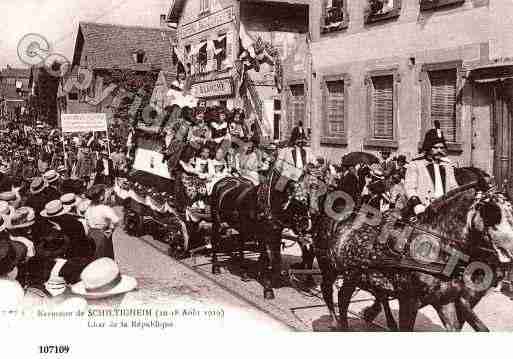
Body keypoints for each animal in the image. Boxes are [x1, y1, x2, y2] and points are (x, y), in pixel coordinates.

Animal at [209, 164, 312, 300]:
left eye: (308, 201)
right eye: (296, 201)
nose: (306, 225)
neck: (271, 203)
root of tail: (222, 181)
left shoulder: (274, 234)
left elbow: (271, 257)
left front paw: (264, 275)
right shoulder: (266, 235)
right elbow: (269, 258)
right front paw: (268, 289)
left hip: (243, 227)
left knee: (240, 244)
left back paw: (244, 272)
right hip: (217, 222)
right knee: (215, 241)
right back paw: (215, 267)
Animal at [310, 183, 512, 332]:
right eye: (492, 212)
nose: (510, 252)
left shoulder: (446, 300)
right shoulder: (409, 301)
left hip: (356, 274)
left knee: (348, 295)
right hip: (330, 267)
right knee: (330, 291)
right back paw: (337, 322)